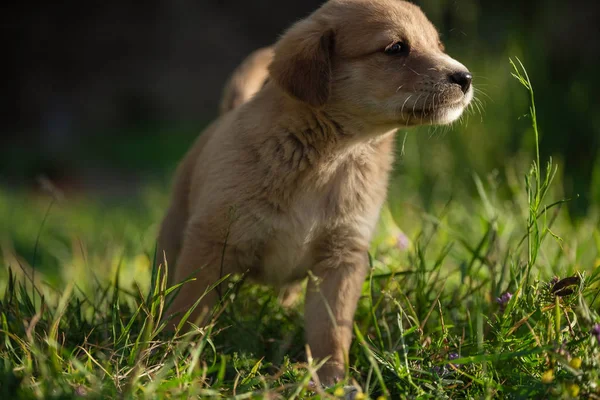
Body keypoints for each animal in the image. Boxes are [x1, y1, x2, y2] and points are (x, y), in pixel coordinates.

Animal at [159, 0, 474, 388]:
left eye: (438, 46)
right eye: (396, 48)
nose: (465, 78)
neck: (332, 158)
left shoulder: (340, 258)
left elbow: (331, 330)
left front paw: (332, 380)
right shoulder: (212, 244)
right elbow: (187, 313)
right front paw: (168, 364)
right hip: (174, 233)